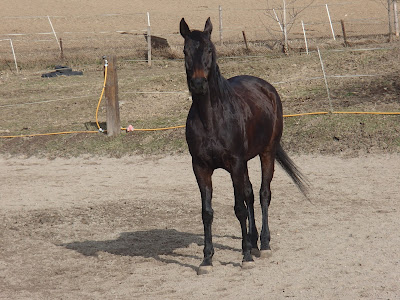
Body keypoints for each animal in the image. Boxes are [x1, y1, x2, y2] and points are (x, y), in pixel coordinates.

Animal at [180, 17, 308, 274]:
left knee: (262, 194)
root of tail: (267, 88)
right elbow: (207, 212)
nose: (198, 84)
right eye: (185, 51)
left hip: (266, 153)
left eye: (209, 50)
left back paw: (264, 244)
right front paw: (207, 259)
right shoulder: (200, 168)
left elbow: (239, 208)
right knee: (249, 193)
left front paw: (246, 256)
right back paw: (253, 241)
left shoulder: (236, 164)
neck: (212, 119)